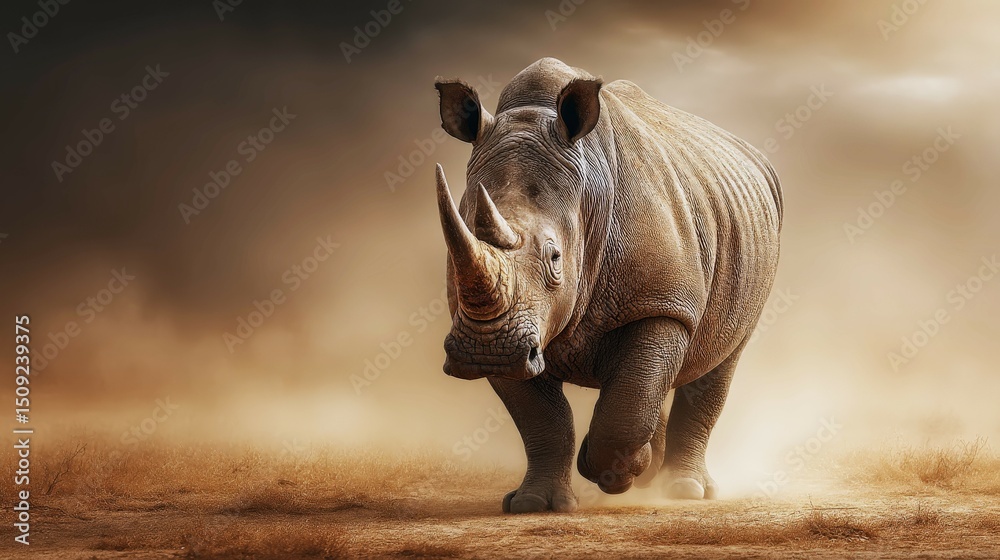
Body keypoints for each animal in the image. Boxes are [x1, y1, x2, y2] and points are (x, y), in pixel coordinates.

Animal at [433, 58, 782, 513]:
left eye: (555, 258)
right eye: (452, 249)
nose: (485, 352)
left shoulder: (661, 303)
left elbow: (629, 401)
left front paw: (613, 474)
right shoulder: (500, 328)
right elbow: (542, 420)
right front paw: (533, 504)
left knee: (719, 361)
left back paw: (684, 491)